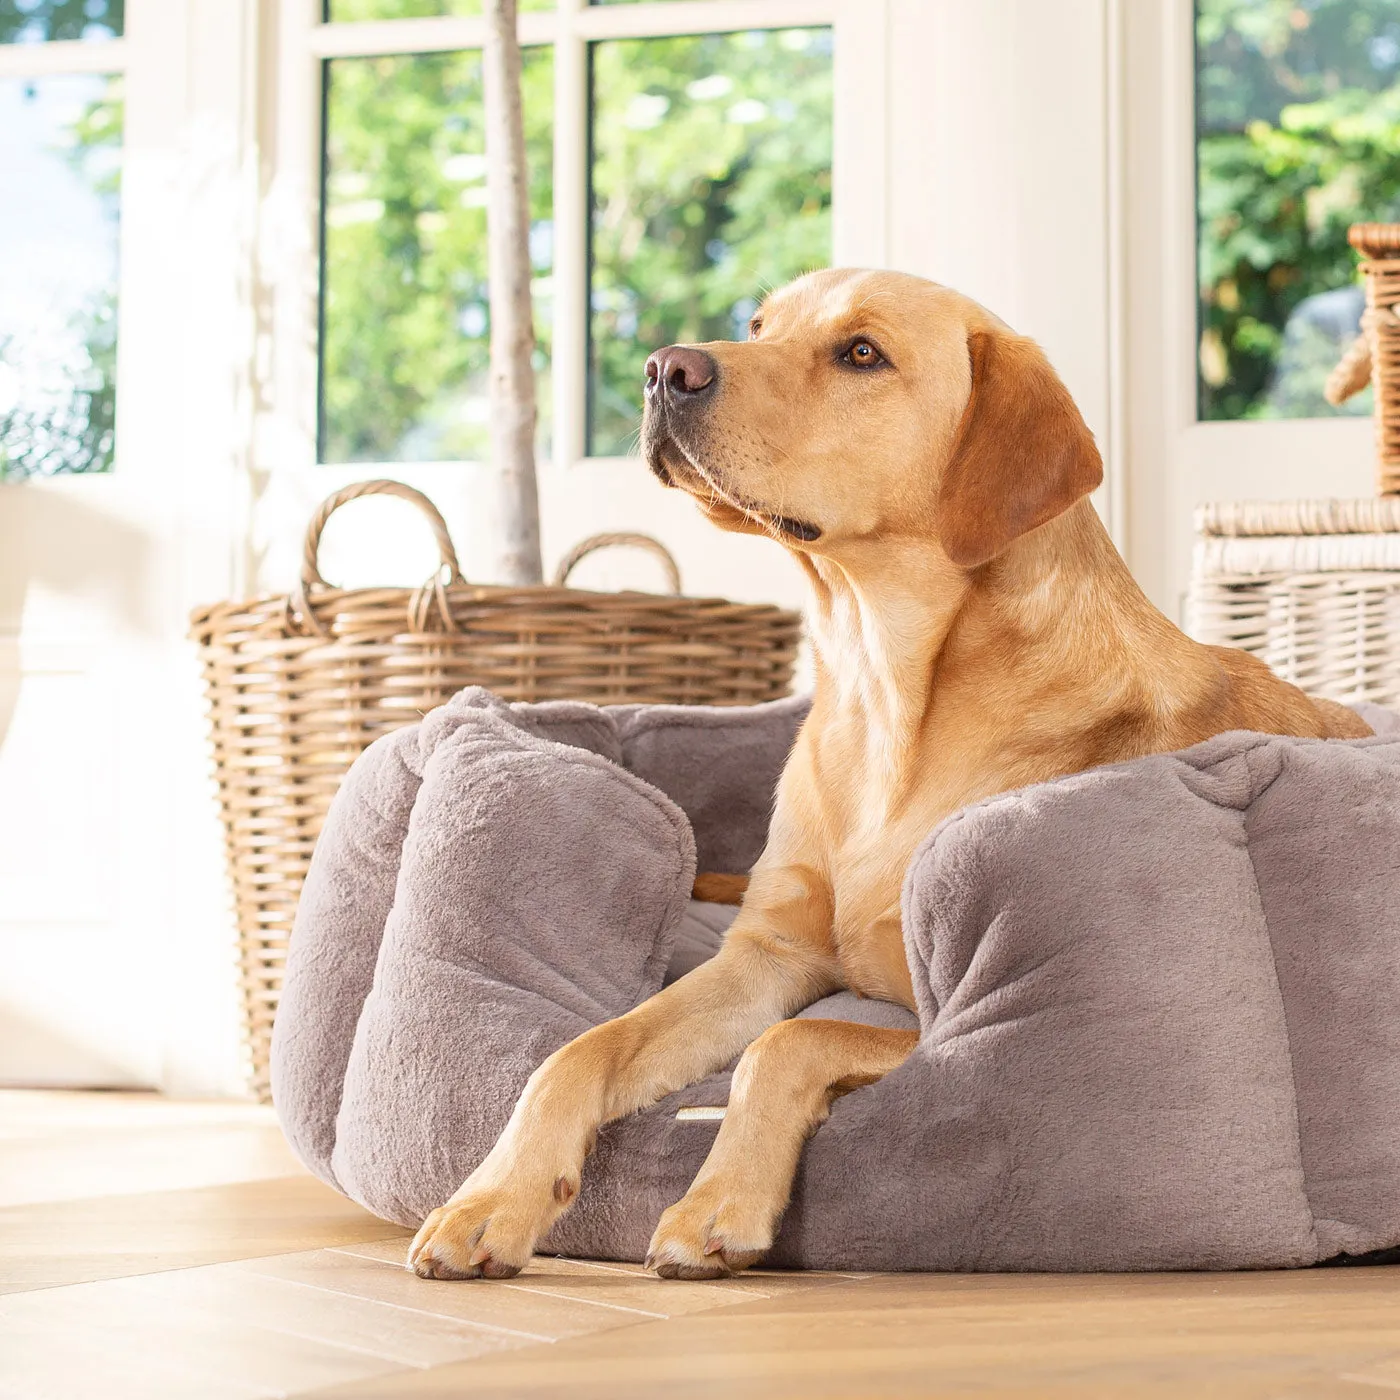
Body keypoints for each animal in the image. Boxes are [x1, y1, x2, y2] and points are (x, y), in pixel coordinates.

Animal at [408, 270, 1372, 1282]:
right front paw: (492, 1199)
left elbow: (789, 1041)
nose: (665, 367)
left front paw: (718, 1200)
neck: (882, 694)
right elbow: (579, 1050)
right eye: (759, 324)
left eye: (861, 353)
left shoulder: (938, 1014)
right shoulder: (763, 956)